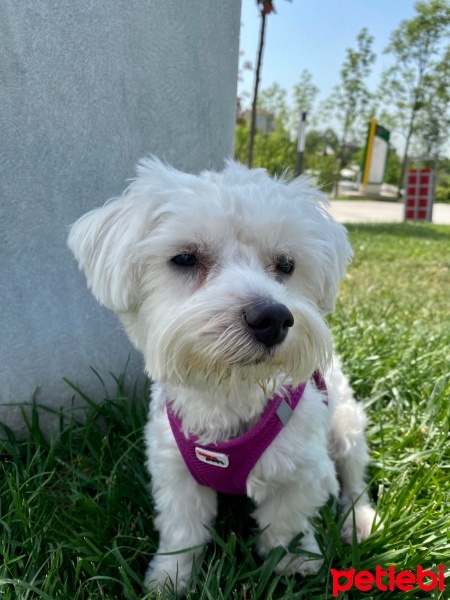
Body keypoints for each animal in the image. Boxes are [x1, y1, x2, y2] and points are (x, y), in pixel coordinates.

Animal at [67, 157, 376, 592]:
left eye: (286, 265)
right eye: (185, 258)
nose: (274, 318)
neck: (228, 392)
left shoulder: (301, 470)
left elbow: (286, 523)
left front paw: (293, 562)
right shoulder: (175, 472)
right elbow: (183, 530)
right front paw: (170, 577)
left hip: (346, 427)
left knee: (355, 481)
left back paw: (359, 522)